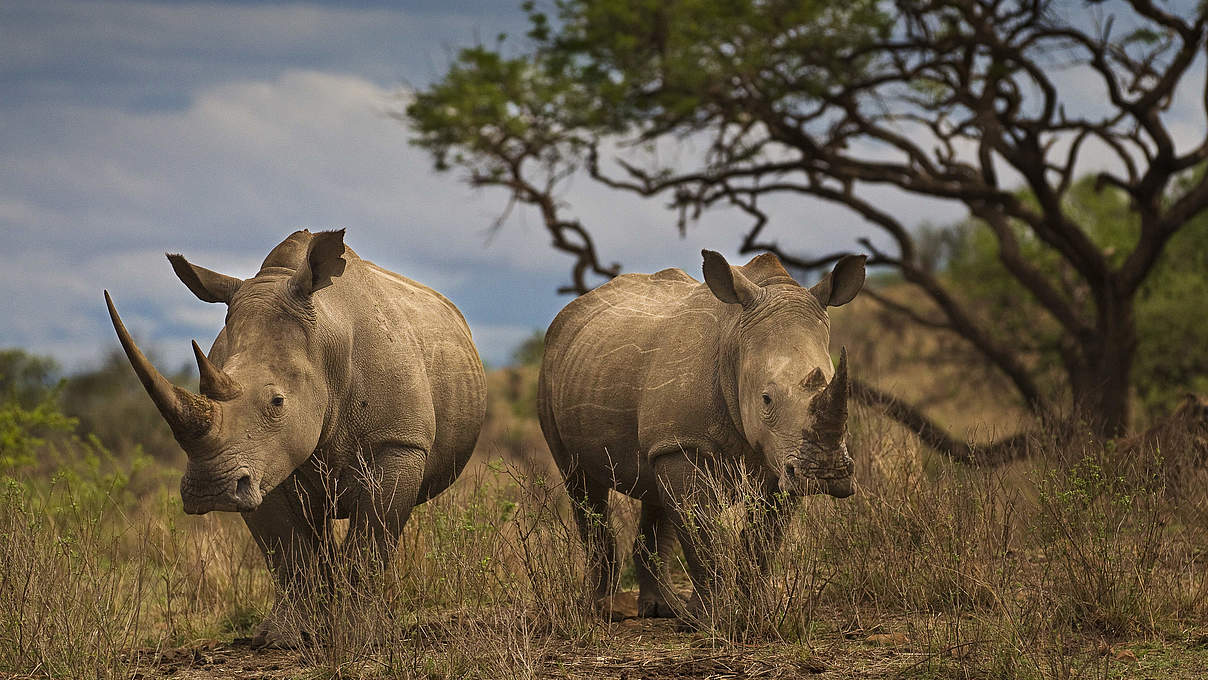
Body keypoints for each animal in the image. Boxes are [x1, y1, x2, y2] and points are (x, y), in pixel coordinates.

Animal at [102, 230, 480, 647]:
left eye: (277, 401)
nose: (209, 490)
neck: (327, 341)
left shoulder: (397, 443)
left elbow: (371, 542)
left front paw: (362, 637)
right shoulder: (263, 462)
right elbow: (286, 549)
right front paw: (282, 639)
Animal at [541, 248, 869, 628]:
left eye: (836, 384)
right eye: (766, 399)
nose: (825, 474)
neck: (736, 343)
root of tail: (572, 310)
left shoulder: (782, 458)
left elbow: (764, 538)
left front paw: (758, 612)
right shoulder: (686, 443)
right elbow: (700, 531)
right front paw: (708, 620)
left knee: (654, 488)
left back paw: (661, 609)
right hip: (553, 369)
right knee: (581, 482)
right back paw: (603, 611)